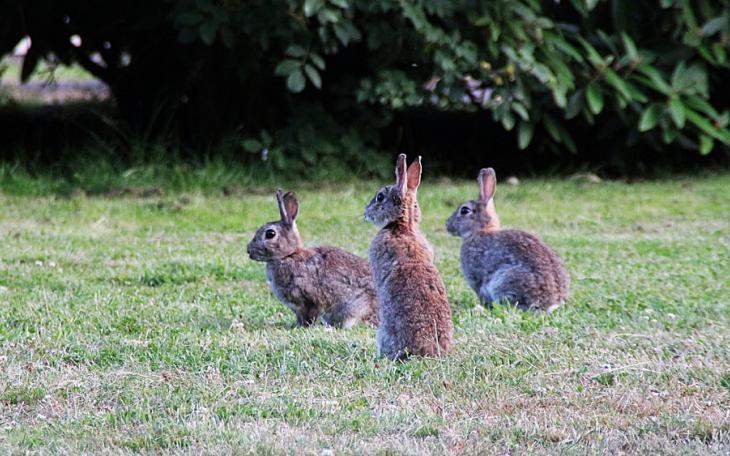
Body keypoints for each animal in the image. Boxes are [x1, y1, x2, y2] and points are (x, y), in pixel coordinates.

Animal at [247, 189, 379, 328]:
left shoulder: (308, 299)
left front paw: (303, 326)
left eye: (270, 234)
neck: (288, 255)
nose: (249, 250)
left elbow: (310, 315)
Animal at [446, 168, 569, 312]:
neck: (480, 231)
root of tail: (551, 303)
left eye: (464, 210)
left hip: (505, 280)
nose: (447, 225)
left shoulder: (476, 278)